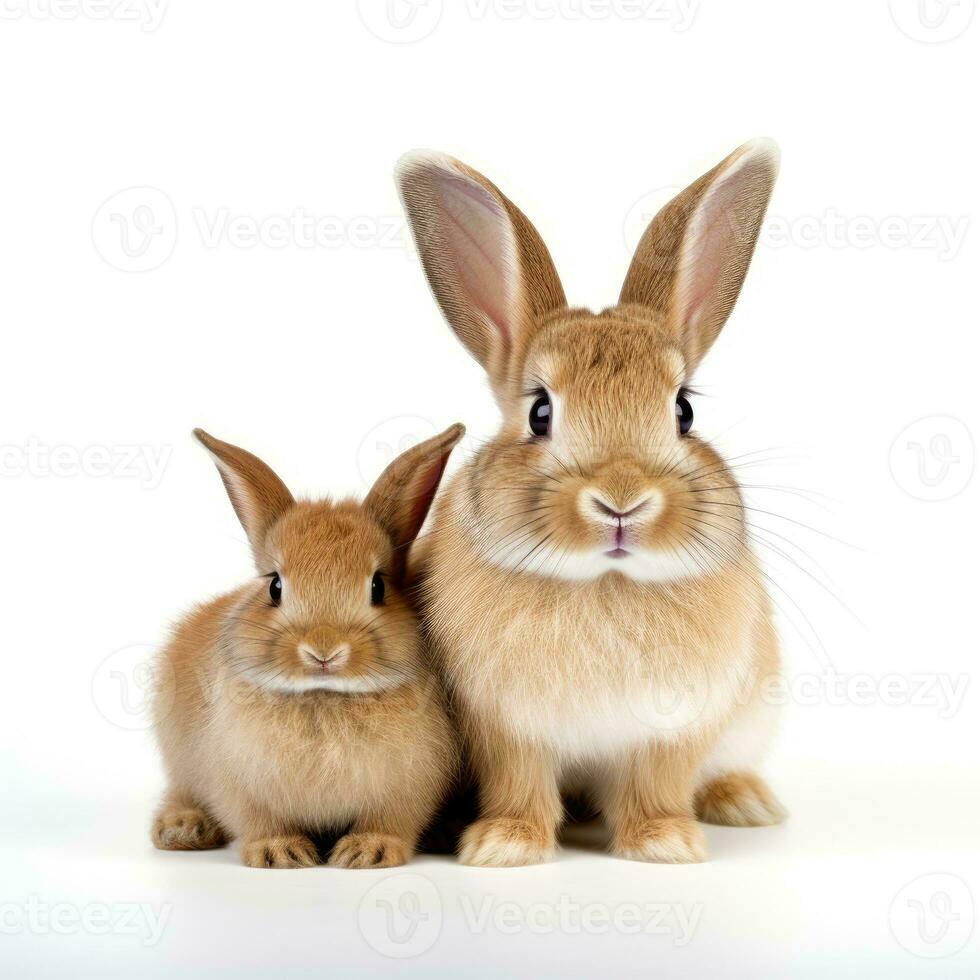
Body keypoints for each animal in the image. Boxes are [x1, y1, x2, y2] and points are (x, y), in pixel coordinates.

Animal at [149, 424, 464, 868]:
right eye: (274, 586)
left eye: (378, 586)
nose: (324, 650)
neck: (323, 696)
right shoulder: (239, 783)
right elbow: (259, 821)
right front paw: (279, 853)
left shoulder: (409, 786)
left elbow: (390, 820)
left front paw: (367, 851)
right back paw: (182, 829)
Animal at [398, 140, 788, 864]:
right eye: (540, 412)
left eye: (684, 411)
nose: (621, 502)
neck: (606, 583)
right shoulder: (507, 731)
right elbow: (519, 785)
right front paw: (504, 846)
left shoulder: (673, 730)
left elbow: (658, 784)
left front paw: (665, 844)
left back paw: (746, 802)